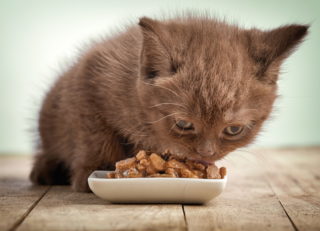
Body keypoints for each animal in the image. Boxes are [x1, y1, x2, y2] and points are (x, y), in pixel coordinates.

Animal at [29, 14, 308, 191]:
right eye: (184, 124)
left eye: (233, 129)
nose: (207, 154)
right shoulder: (89, 79)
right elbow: (95, 137)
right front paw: (93, 170)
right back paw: (46, 171)